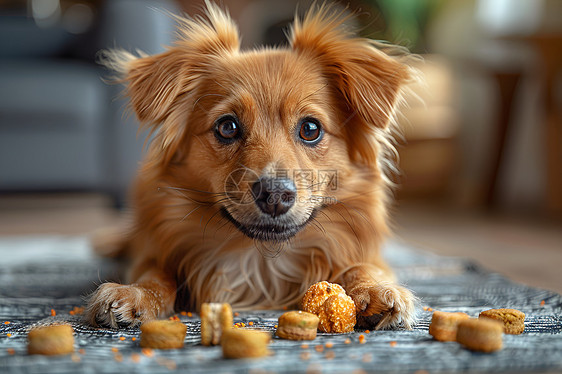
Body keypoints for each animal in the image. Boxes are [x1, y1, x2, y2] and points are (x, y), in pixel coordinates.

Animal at [86, 2, 416, 330]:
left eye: (310, 129)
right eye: (227, 127)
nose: (275, 194)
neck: (261, 263)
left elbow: (362, 266)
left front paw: (373, 290)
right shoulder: (157, 250)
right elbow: (155, 273)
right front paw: (136, 293)